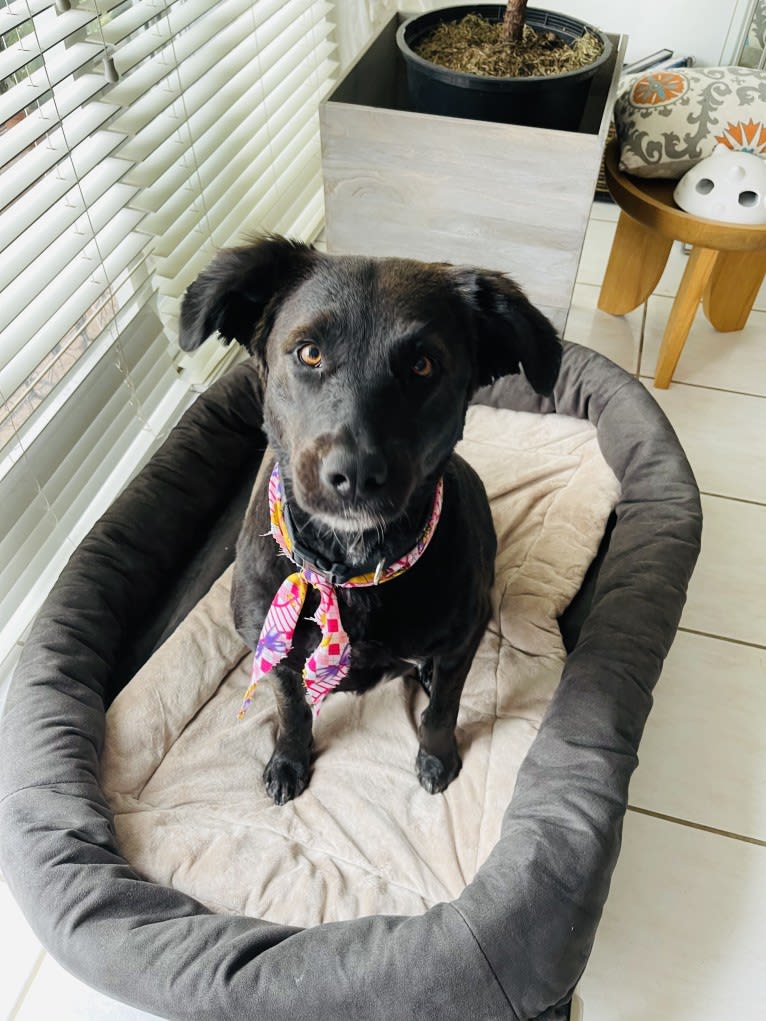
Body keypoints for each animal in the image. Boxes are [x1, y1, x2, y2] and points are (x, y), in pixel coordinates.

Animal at [181, 236, 563, 804]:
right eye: (309, 352)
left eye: (423, 365)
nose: (357, 473)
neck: (349, 568)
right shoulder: (279, 657)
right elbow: (291, 709)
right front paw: (289, 759)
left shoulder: (460, 644)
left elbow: (443, 708)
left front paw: (437, 756)